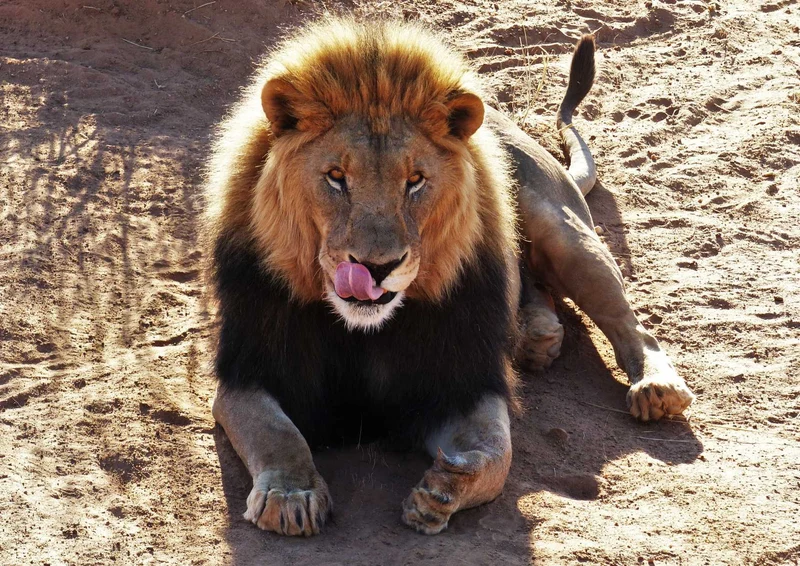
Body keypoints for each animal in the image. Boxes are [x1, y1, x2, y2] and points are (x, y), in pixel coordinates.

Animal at [204, 19, 695, 537]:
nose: (376, 267)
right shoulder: (247, 374)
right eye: (336, 177)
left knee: (631, 325)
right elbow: (276, 433)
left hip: (565, 234)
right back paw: (536, 336)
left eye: (415, 181)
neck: (362, 331)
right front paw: (290, 495)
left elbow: (497, 453)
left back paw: (655, 387)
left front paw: (444, 489)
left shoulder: (463, 381)